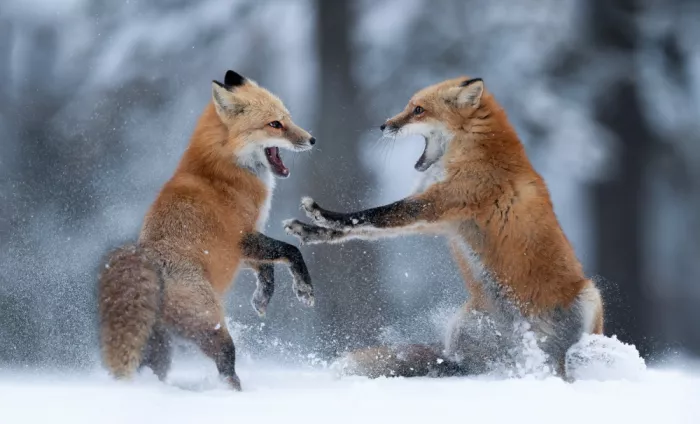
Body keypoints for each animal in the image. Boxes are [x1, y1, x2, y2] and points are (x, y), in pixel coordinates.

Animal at [98, 70, 316, 391]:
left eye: (287, 118)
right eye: (275, 124)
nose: (312, 140)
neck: (224, 166)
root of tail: (149, 262)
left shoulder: (241, 248)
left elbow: (267, 269)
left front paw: (261, 299)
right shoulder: (241, 238)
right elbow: (291, 251)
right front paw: (304, 290)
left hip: (161, 349)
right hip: (213, 326)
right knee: (226, 368)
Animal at [284, 76, 604, 380]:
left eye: (418, 110)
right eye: (409, 106)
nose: (384, 125)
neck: (471, 150)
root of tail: (523, 340)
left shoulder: (435, 204)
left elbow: (370, 215)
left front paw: (322, 215)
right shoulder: (439, 221)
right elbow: (363, 228)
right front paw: (311, 231)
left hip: (590, 299)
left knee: (565, 362)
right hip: (466, 330)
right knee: (462, 366)